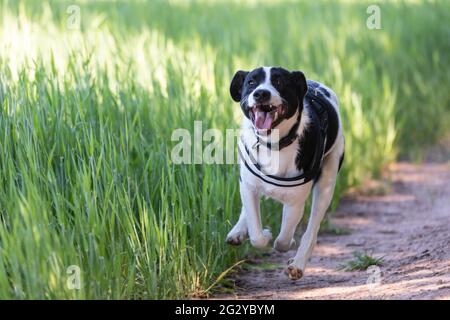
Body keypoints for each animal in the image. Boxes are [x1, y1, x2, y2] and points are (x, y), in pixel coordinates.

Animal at [227, 66, 346, 278]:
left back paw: (298, 264)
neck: (273, 145)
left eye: (280, 82)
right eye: (251, 82)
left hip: (327, 182)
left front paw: (285, 242)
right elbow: (255, 233)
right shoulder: (248, 186)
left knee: (312, 229)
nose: (261, 93)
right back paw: (238, 231)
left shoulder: (295, 201)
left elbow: (283, 239)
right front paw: (262, 234)